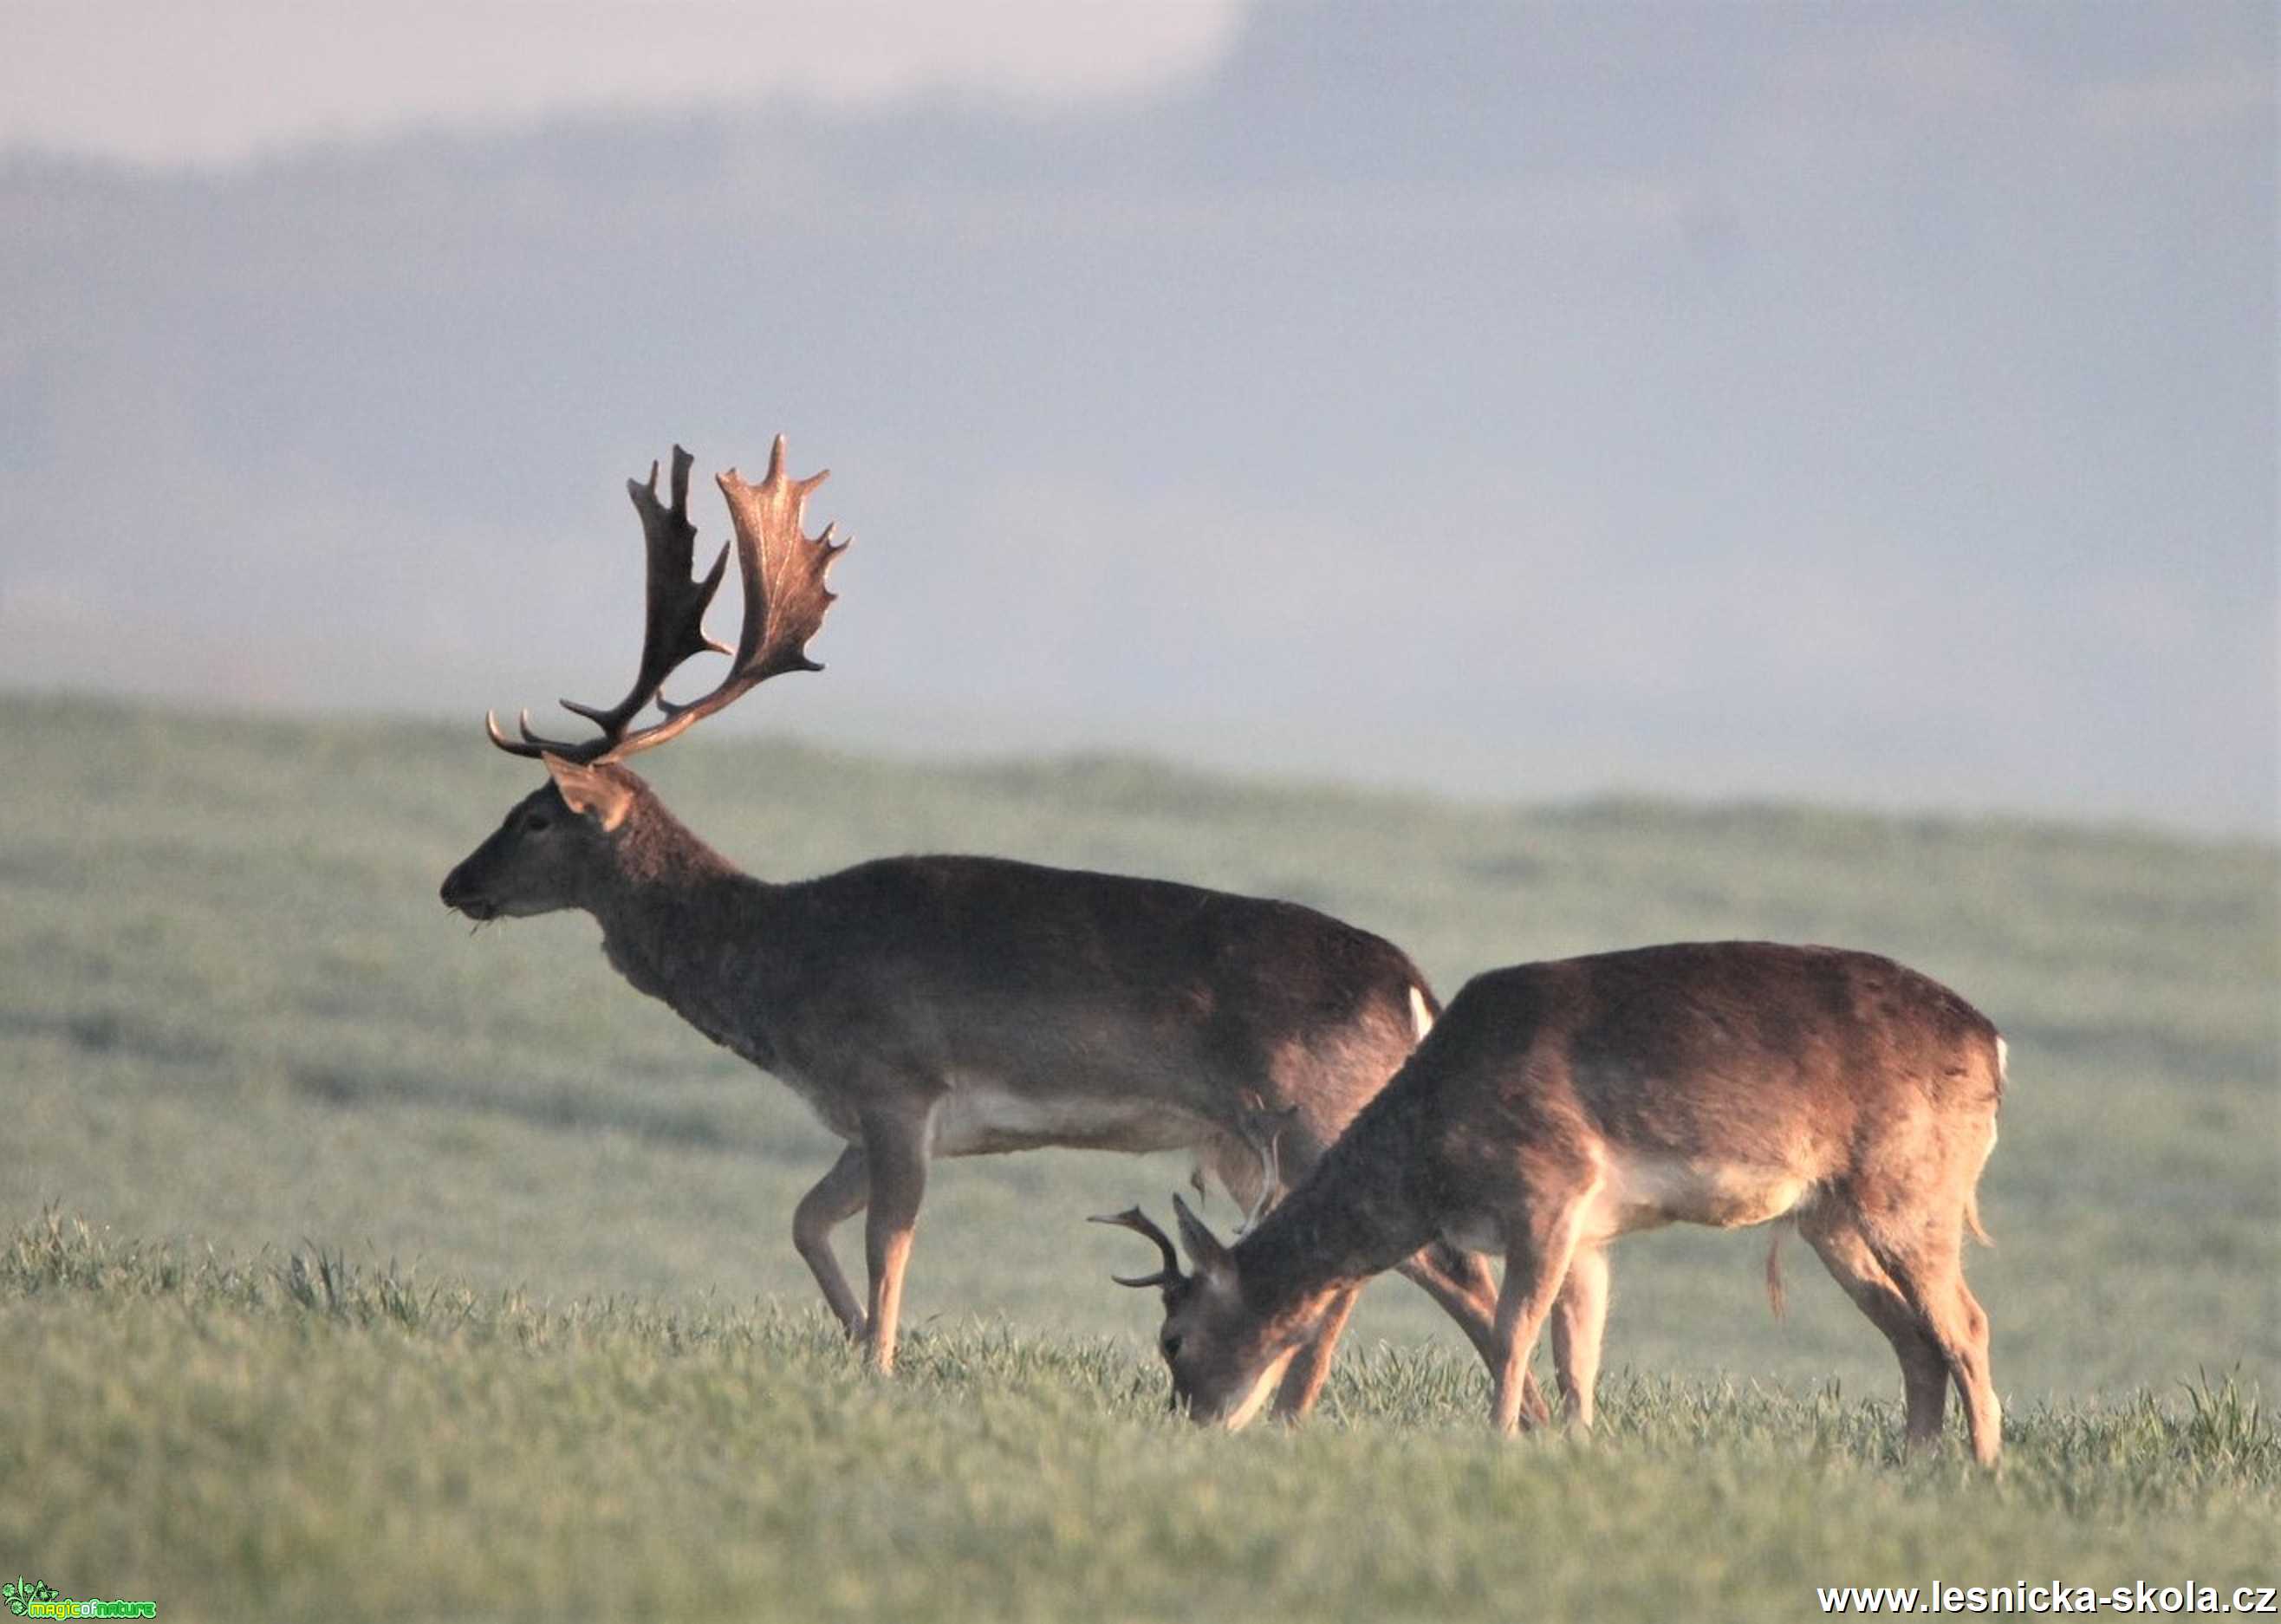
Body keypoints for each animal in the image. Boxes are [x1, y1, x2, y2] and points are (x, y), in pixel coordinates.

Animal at [439, 439, 1532, 1405]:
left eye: (535, 814)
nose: (456, 884)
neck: (783, 965)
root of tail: (1412, 987)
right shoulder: (872, 1114)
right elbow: (804, 1219)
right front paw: (862, 1347)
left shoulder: (898, 1082)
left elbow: (885, 1244)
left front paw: (879, 1366)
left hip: (1318, 1115)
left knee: (1450, 1273)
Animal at [1095, 939, 2007, 1459]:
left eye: (1173, 1338)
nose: (1193, 1421)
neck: (1432, 1157)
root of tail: (1993, 1046)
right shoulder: (1591, 1232)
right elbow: (1579, 1349)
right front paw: (1575, 1445)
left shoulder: (1549, 1189)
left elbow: (1512, 1331)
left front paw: (1496, 1439)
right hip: (1831, 1215)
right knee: (1915, 1337)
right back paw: (1913, 1465)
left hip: (1911, 1186)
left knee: (1965, 1323)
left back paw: (1985, 1469)